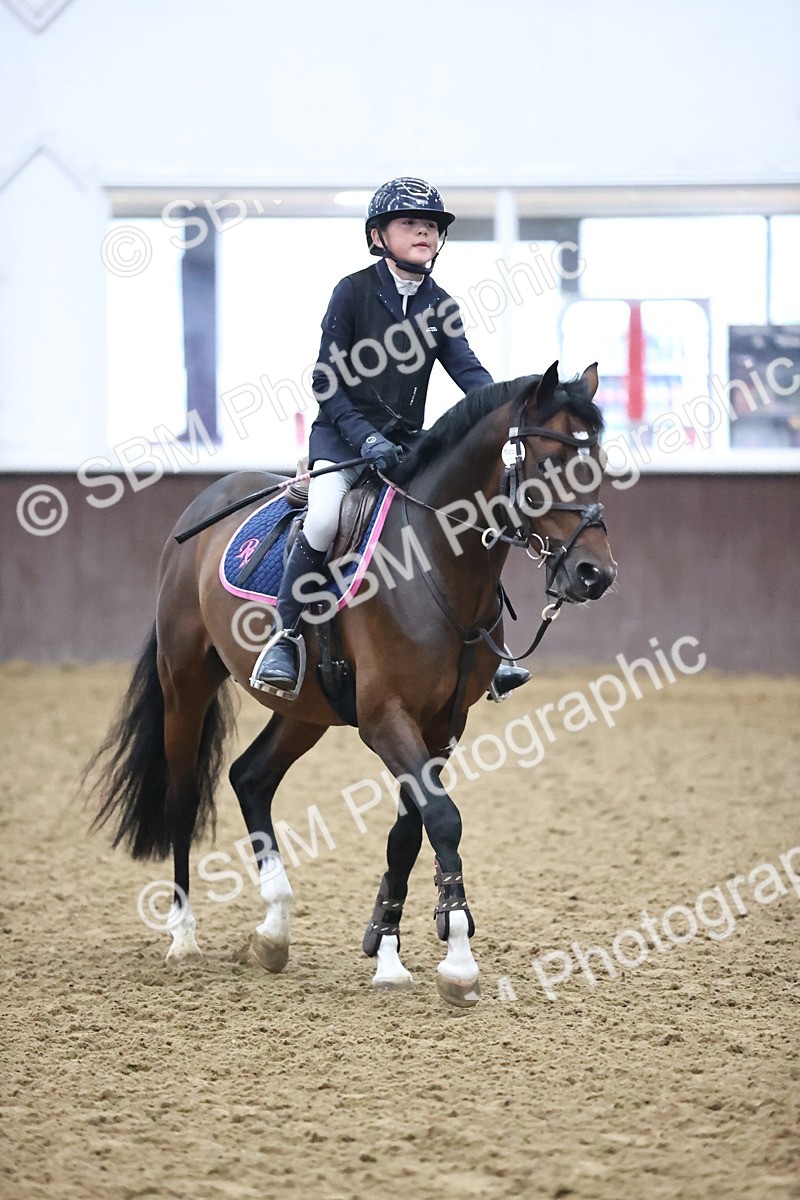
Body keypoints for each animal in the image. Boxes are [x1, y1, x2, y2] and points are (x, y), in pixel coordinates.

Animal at [87, 361, 617, 1007]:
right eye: (547, 462)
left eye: (598, 461)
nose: (595, 574)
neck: (434, 562)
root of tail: (204, 504)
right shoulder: (385, 716)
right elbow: (443, 818)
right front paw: (458, 960)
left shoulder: (442, 724)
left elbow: (410, 828)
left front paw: (386, 948)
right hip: (186, 682)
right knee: (184, 798)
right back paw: (183, 937)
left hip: (305, 711)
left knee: (250, 777)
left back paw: (274, 931)